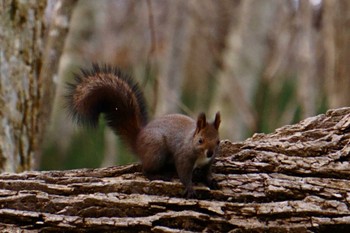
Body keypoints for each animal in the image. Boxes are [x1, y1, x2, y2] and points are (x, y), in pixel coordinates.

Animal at [66, 64, 220, 198]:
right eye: (200, 140)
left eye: (218, 141)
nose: (210, 152)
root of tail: (138, 140)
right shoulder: (183, 157)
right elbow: (184, 174)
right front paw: (190, 189)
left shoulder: (208, 163)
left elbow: (207, 173)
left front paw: (211, 181)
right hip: (157, 151)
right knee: (145, 169)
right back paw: (157, 175)